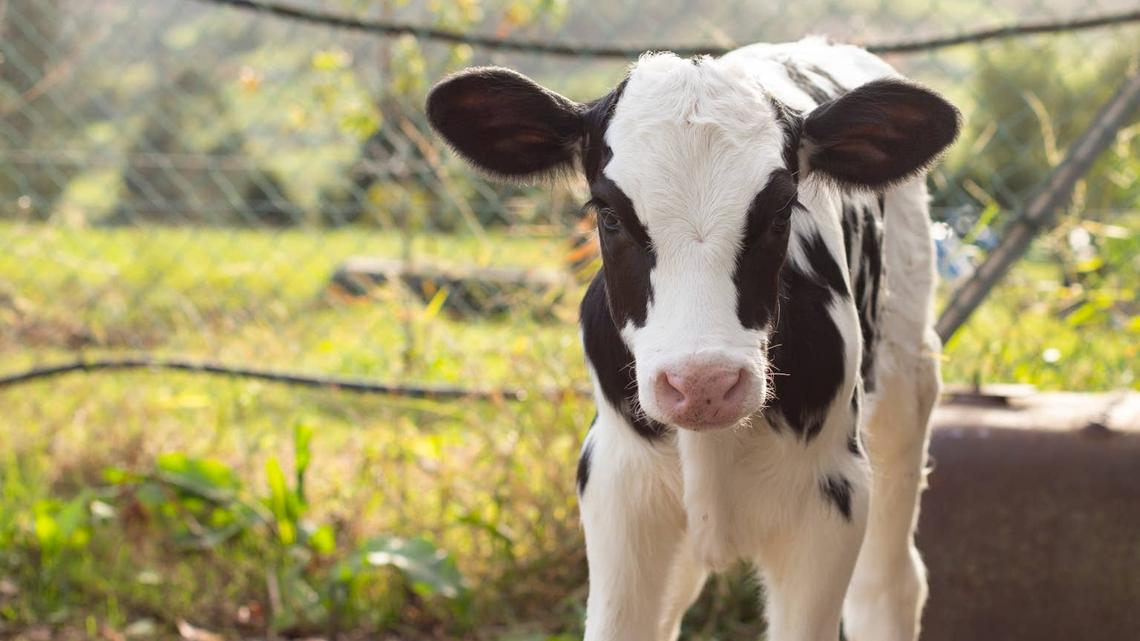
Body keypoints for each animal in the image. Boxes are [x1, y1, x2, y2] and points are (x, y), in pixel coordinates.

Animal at [426, 36, 960, 641]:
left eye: (781, 211)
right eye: (608, 214)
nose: (704, 383)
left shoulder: (832, 499)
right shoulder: (617, 488)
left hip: (905, 389)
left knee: (888, 584)